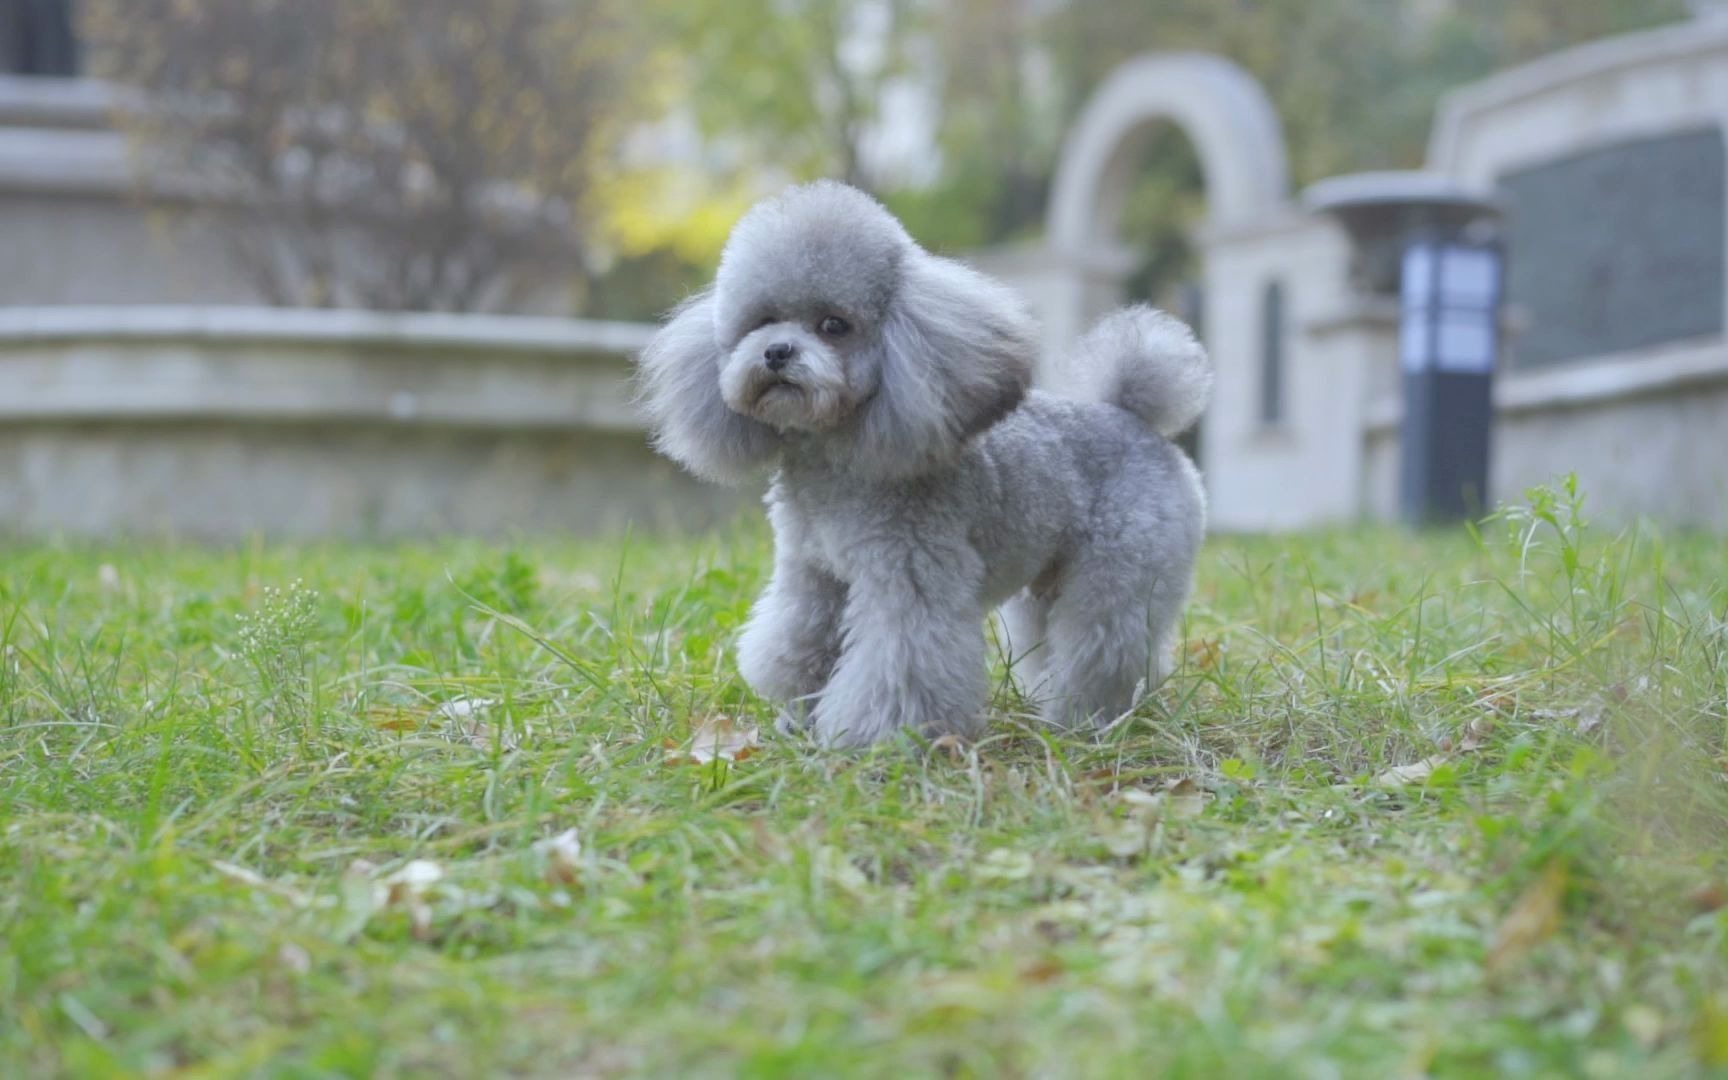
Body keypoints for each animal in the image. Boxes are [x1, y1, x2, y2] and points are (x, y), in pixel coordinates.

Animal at [639, 181, 1216, 746]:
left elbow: (899, 665)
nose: (776, 352)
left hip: (1122, 572)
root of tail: (1135, 417)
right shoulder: (813, 574)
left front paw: (878, 738)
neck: (835, 459)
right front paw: (798, 717)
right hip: (1045, 586)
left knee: (1105, 646)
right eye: (762, 321)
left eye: (834, 325)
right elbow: (800, 643)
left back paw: (1089, 722)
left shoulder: (907, 577)